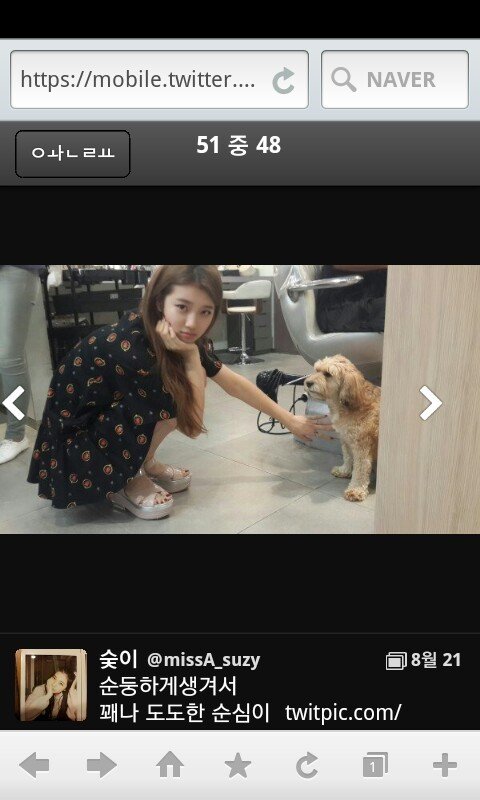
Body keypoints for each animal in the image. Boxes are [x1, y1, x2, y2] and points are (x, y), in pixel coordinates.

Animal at [304, 355, 380, 502]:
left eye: (328, 374)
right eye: (316, 369)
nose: (308, 383)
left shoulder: (361, 447)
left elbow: (361, 469)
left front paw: (356, 489)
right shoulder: (346, 440)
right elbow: (348, 457)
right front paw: (344, 470)